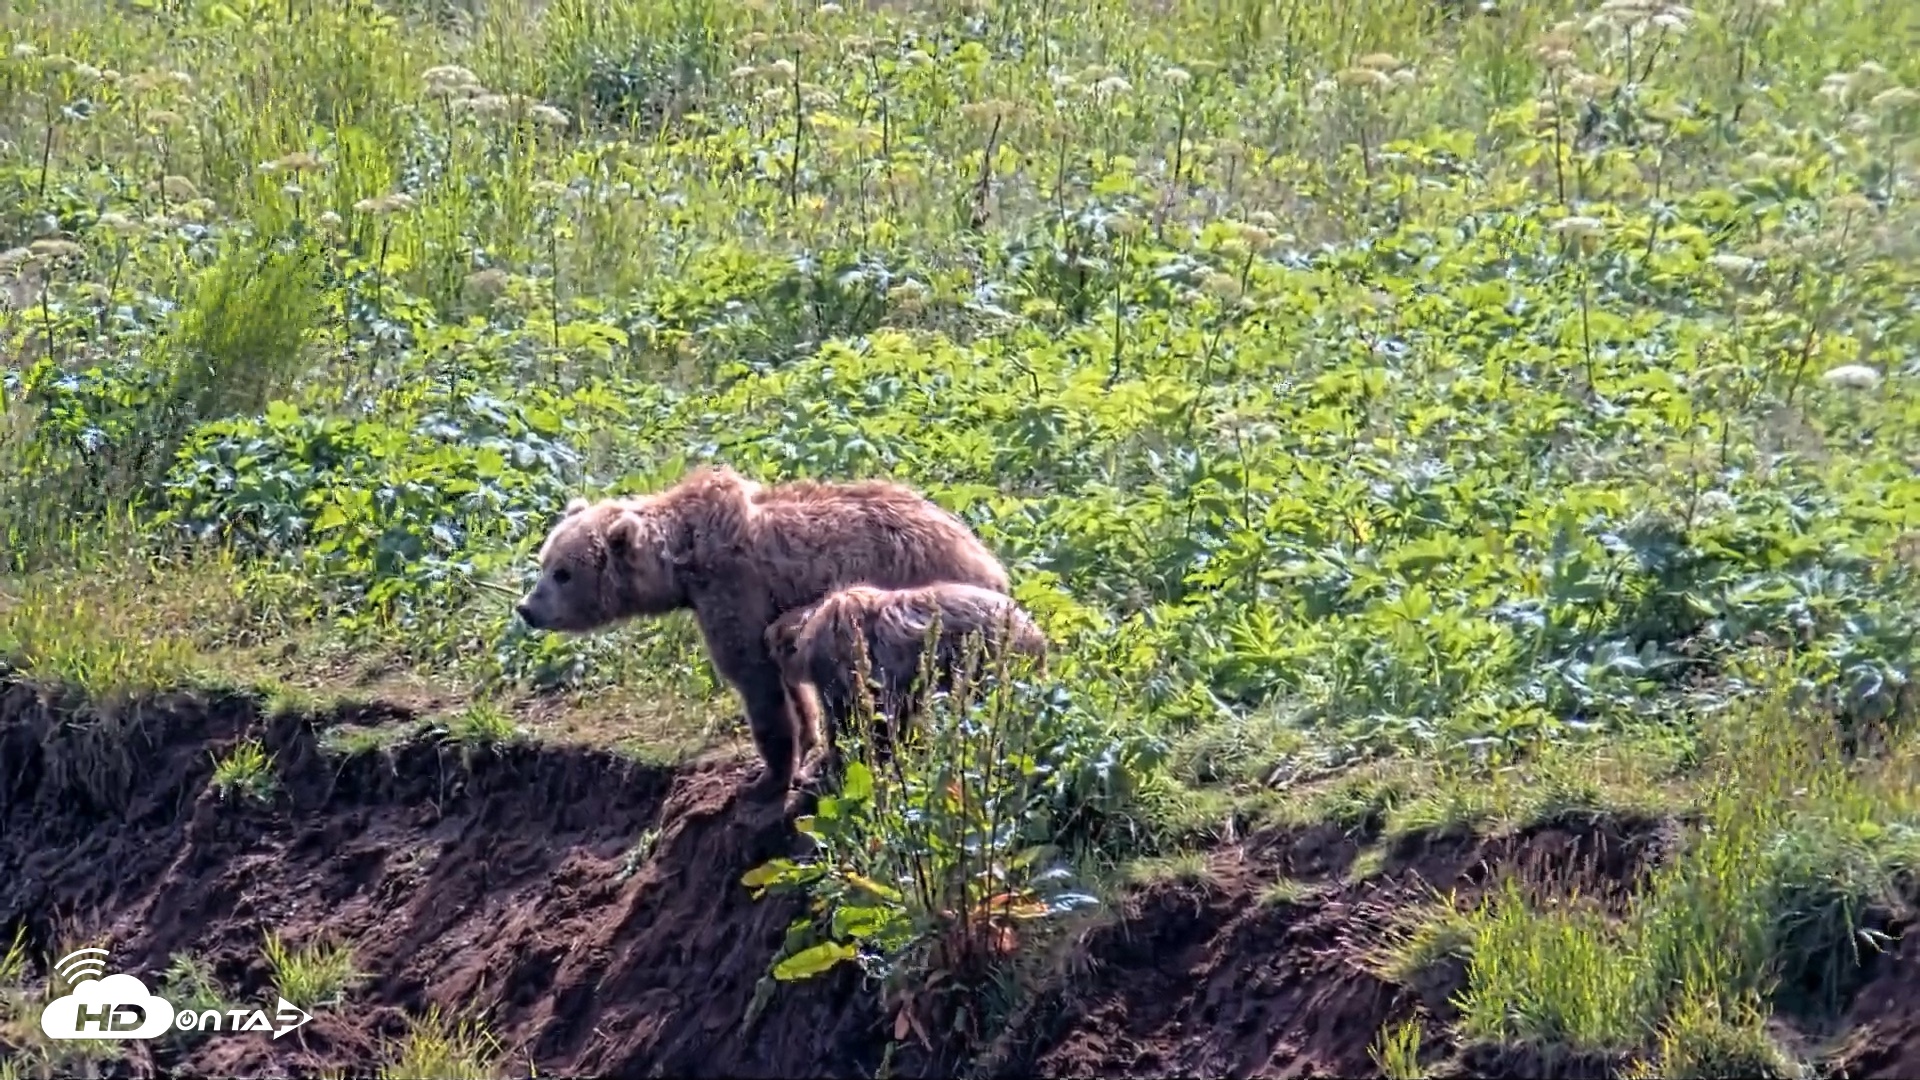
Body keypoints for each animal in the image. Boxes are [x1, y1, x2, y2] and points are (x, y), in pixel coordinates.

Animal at [514, 465, 1011, 800]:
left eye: (562, 573)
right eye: (544, 561)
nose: (526, 609)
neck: (684, 563)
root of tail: (990, 564)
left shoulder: (734, 588)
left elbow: (754, 678)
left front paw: (768, 775)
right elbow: (788, 683)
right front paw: (804, 744)